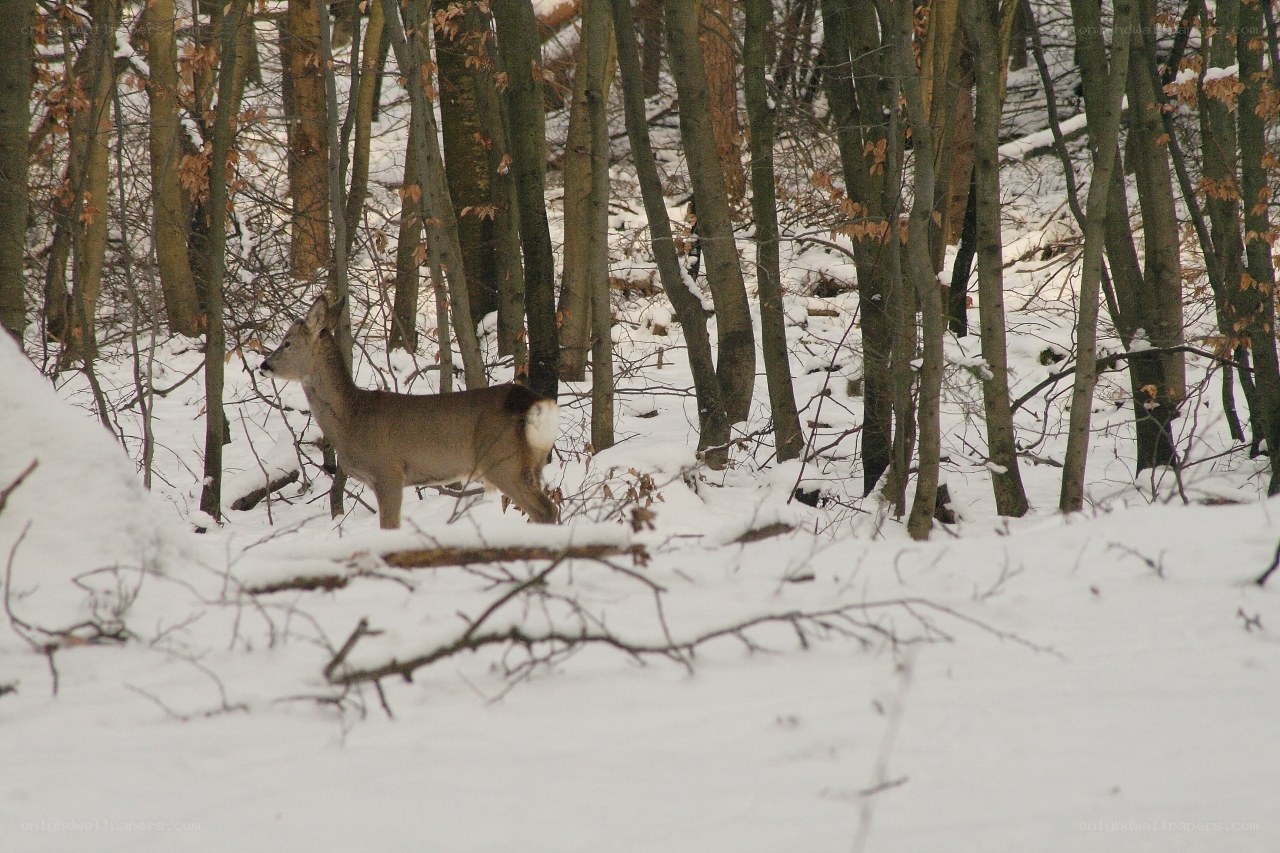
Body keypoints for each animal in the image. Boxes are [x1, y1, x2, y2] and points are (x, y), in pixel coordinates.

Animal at [259, 295, 559, 529]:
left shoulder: (387, 471)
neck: (350, 418)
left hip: (503, 460)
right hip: (532, 462)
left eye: (287, 342)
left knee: (546, 510)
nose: (264, 365)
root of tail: (534, 403)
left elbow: (389, 526)